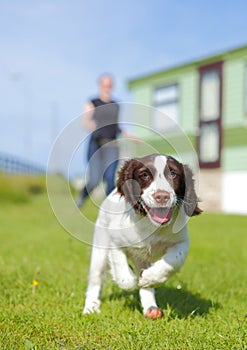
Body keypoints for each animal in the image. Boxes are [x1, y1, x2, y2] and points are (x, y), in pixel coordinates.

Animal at [83, 154, 201, 318]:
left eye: (173, 174)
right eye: (144, 175)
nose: (162, 197)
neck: (150, 224)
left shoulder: (181, 242)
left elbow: (173, 262)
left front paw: (149, 278)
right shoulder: (115, 240)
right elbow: (122, 272)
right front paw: (130, 279)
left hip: (142, 259)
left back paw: (150, 307)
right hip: (100, 248)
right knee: (95, 278)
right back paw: (91, 308)